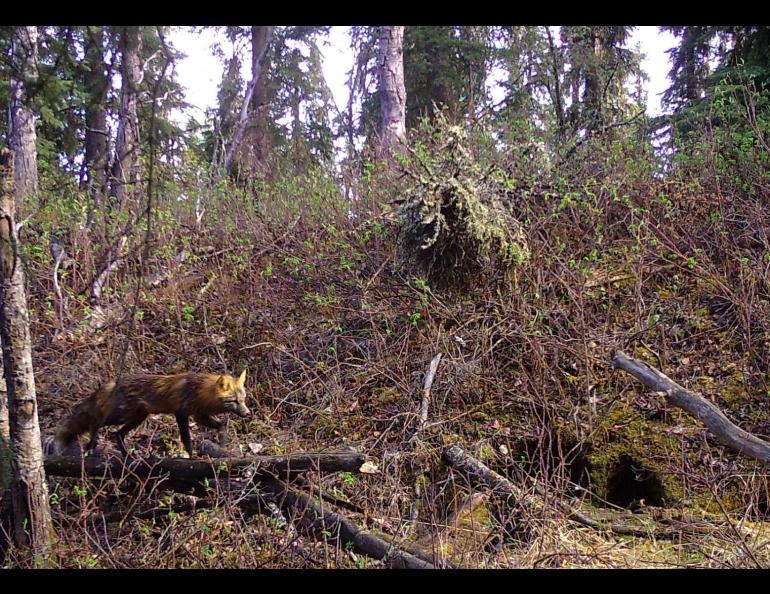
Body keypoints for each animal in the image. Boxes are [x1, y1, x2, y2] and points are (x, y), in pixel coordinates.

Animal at [54, 370, 251, 457]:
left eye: (243, 399)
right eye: (234, 401)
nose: (248, 413)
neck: (200, 392)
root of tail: (115, 382)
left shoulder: (199, 415)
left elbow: (221, 425)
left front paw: (223, 439)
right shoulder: (181, 414)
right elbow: (186, 440)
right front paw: (191, 457)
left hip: (137, 418)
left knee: (117, 434)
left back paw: (128, 456)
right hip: (121, 416)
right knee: (97, 423)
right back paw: (92, 444)